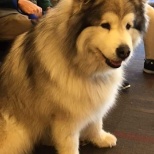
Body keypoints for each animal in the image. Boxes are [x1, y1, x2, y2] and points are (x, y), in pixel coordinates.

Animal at [0, 0, 148, 154]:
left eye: (128, 26)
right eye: (105, 25)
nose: (124, 51)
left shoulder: (93, 98)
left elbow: (96, 121)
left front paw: (99, 138)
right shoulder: (66, 116)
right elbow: (70, 143)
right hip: (17, 133)